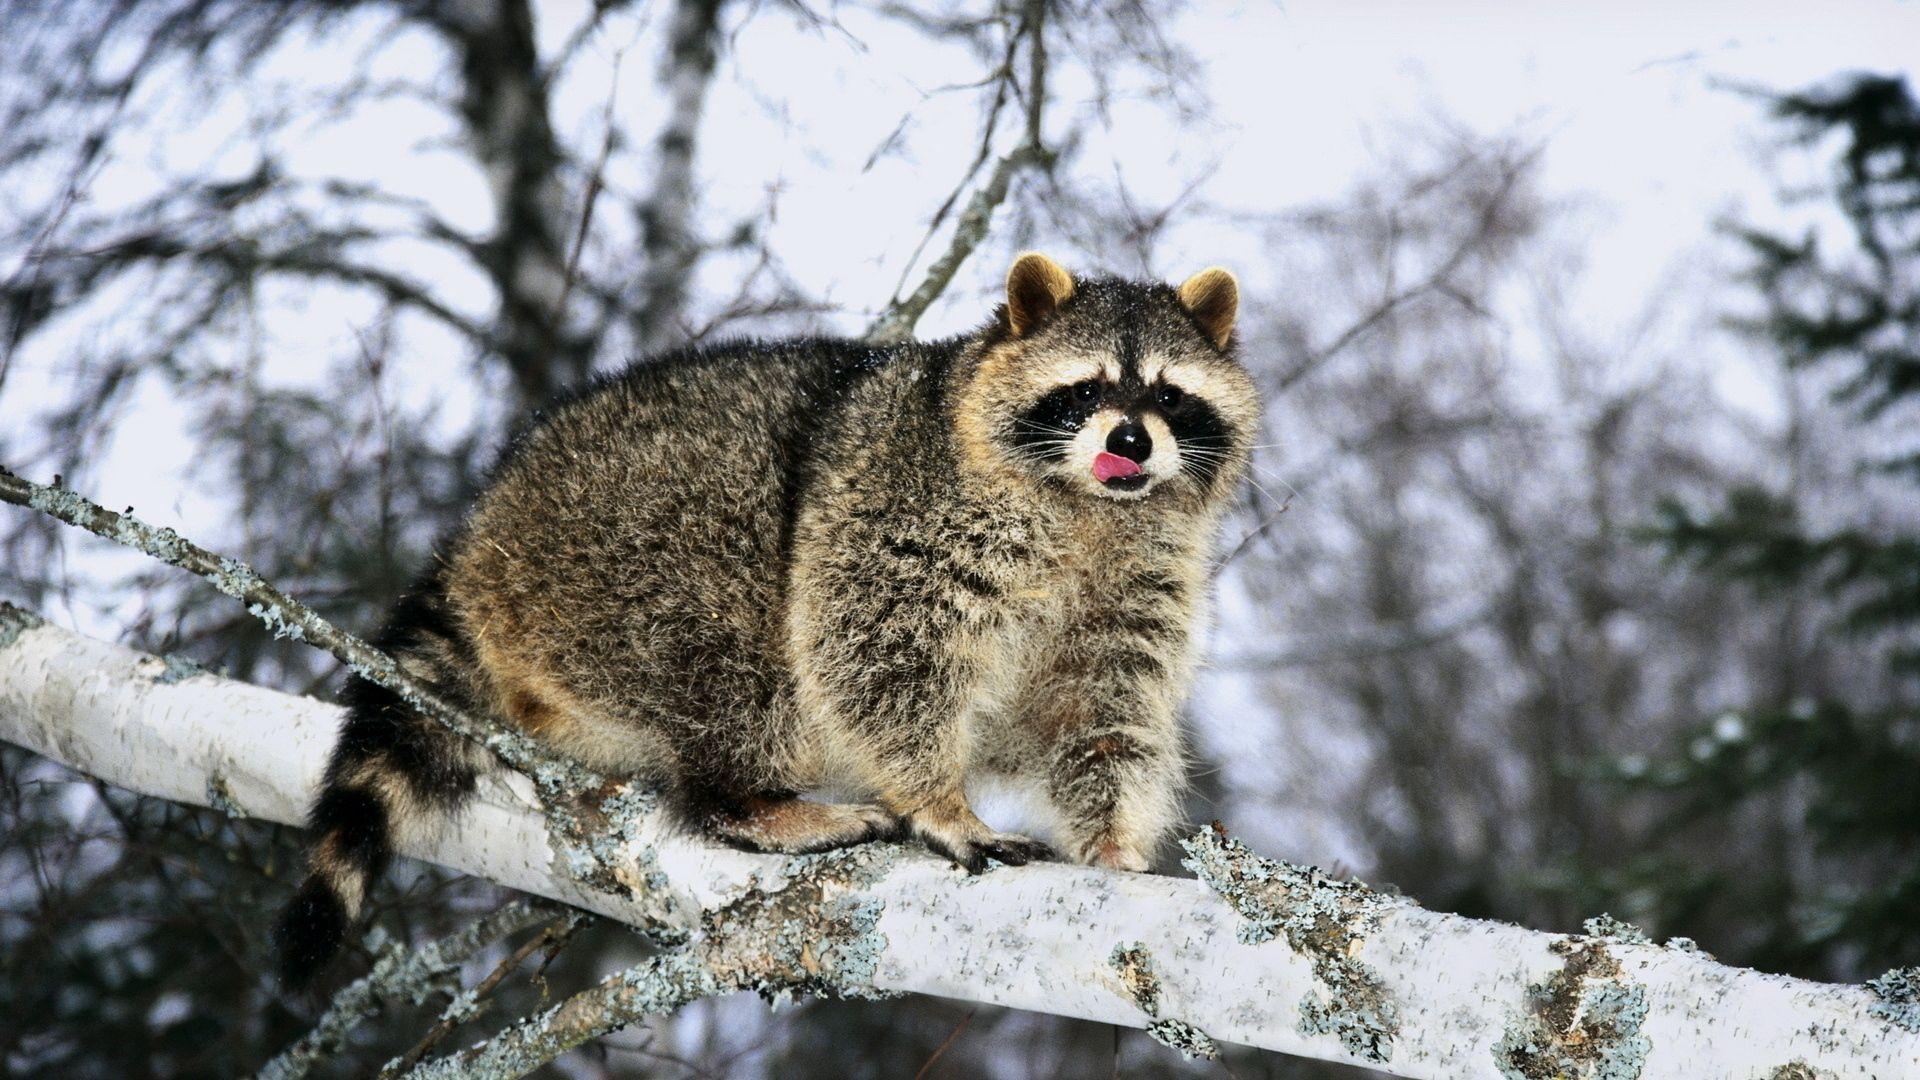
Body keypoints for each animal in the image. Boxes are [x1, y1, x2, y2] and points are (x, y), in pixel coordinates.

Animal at [273, 253, 1258, 985]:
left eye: (1169, 396)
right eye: (1087, 389)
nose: (1129, 441)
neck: (1090, 509)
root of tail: (480, 535)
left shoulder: (1138, 580)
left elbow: (1103, 709)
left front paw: (1113, 839)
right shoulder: (899, 511)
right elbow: (875, 650)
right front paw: (936, 797)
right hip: (615, 548)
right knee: (737, 647)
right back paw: (744, 798)